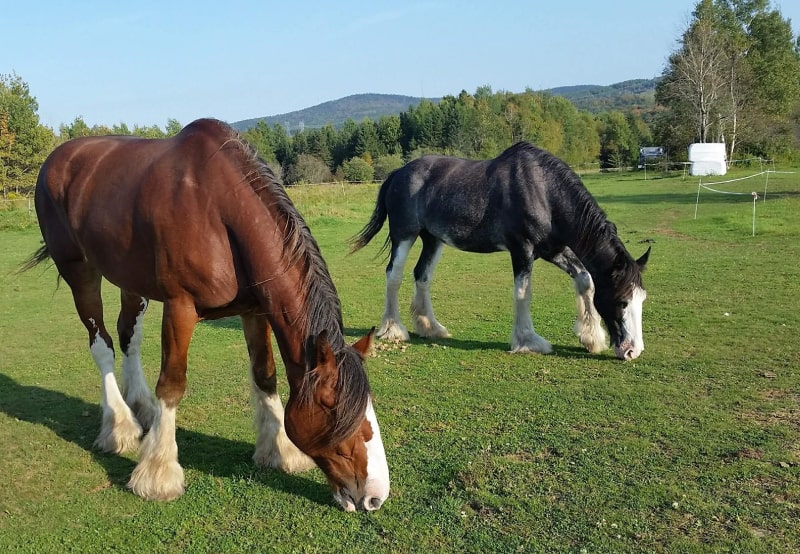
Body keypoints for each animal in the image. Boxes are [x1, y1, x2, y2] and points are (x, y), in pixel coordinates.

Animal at [22, 118, 389, 511]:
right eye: (340, 415)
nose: (375, 496)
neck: (220, 210)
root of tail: (58, 157)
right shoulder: (180, 307)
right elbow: (172, 383)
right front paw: (157, 474)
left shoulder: (254, 310)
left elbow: (265, 375)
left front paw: (279, 450)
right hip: (78, 270)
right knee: (101, 345)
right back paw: (119, 426)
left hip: (130, 278)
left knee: (128, 336)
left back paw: (142, 408)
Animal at [349, 142, 651, 361]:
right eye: (622, 301)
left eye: (641, 300)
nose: (633, 351)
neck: (543, 191)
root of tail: (398, 173)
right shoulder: (522, 251)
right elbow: (523, 293)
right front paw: (528, 341)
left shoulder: (554, 250)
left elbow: (585, 280)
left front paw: (591, 338)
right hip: (404, 235)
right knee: (394, 276)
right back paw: (394, 330)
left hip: (433, 239)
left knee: (421, 276)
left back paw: (430, 327)